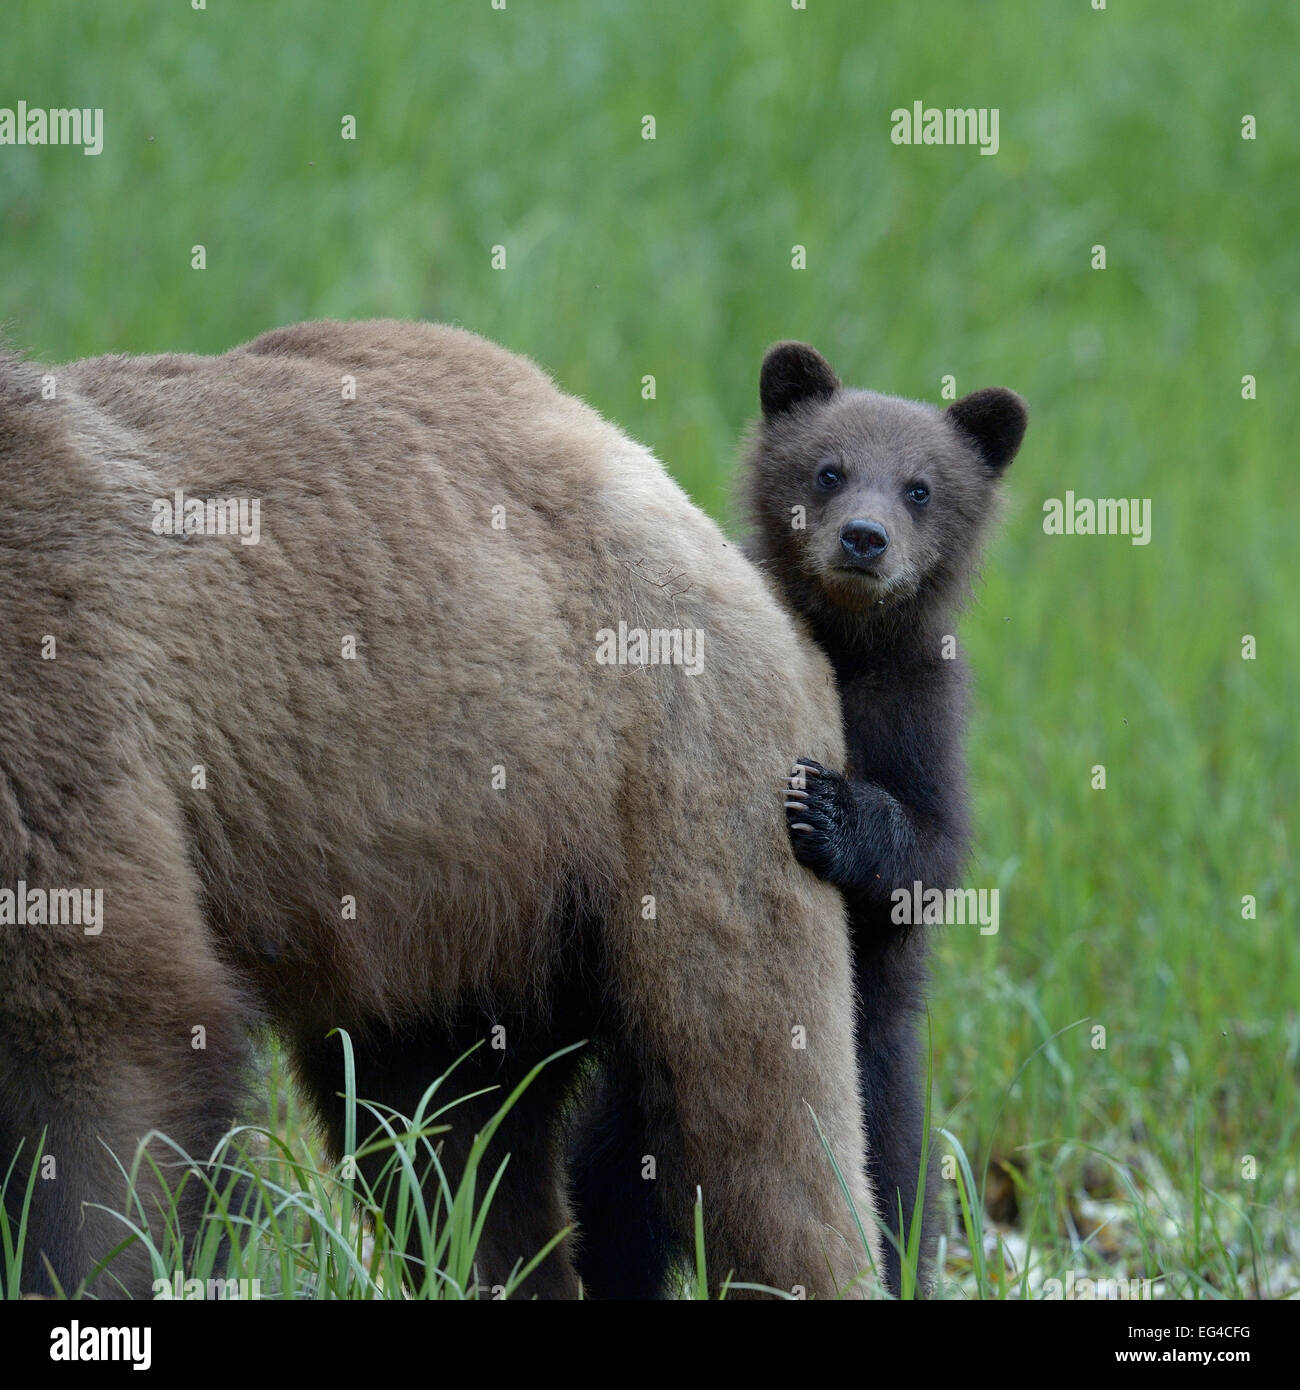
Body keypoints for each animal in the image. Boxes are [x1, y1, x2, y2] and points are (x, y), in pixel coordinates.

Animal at [0, 319, 881, 1300]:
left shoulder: (63, 710)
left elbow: (107, 1051)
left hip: (679, 785)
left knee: (755, 1118)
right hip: (451, 909)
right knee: (453, 1153)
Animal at [571, 343, 1025, 1299]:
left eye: (922, 487)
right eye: (829, 469)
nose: (864, 538)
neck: (846, 650)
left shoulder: (921, 716)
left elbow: (929, 854)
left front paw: (826, 806)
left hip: (877, 1084)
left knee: (896, 1198)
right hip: (639, 1099)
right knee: (605, 1199)